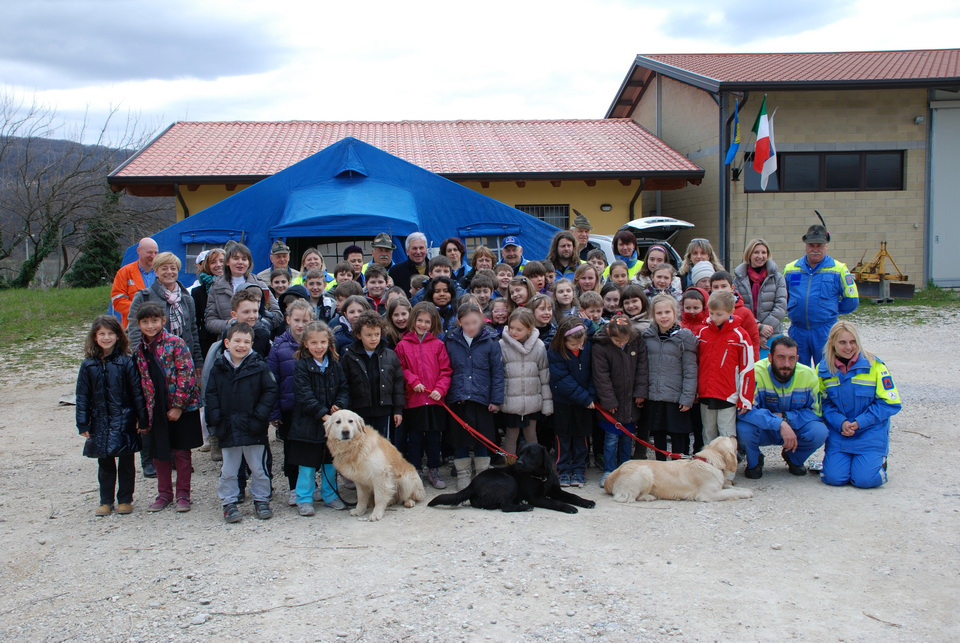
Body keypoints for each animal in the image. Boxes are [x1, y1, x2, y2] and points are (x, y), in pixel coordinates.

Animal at [428, 443, 596, 513]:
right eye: (520, 453)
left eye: (531, 454)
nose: (519, 462)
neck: (540, 475)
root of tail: (472, 484)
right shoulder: (536, 498)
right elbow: (555, 502)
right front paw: (568, 507)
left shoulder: (556, 491)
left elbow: (573, 496)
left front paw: (586, 502)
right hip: (509, 481)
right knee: (505, 507)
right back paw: (524, 506)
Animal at [603, 436, 754, 503]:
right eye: (730, 439)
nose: (734, 436)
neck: (709, 461)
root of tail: (612, 475)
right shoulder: (709, 494)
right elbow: (729, 492)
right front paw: (745, 494)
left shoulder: (719, 486)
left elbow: (732, 488)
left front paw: (746, 490)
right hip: (645, 472)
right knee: (631, 497)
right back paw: (649, 496)